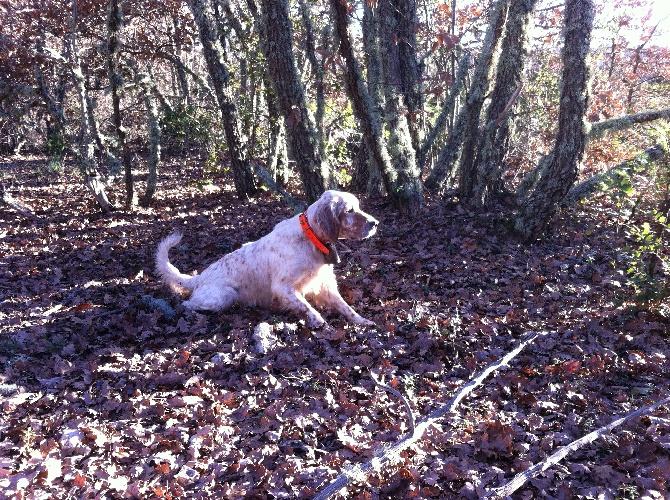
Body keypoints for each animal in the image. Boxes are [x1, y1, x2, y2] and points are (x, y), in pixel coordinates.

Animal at [154, 189, 380, 326]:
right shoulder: (283, 287)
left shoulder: (324, 285)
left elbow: (345, 307)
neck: (310, 237)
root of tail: (199, 277)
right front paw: (321, 324)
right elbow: (306, 308)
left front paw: (363, 321)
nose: (375, 223)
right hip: (224, 296)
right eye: (349, 210)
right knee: (188, 304)